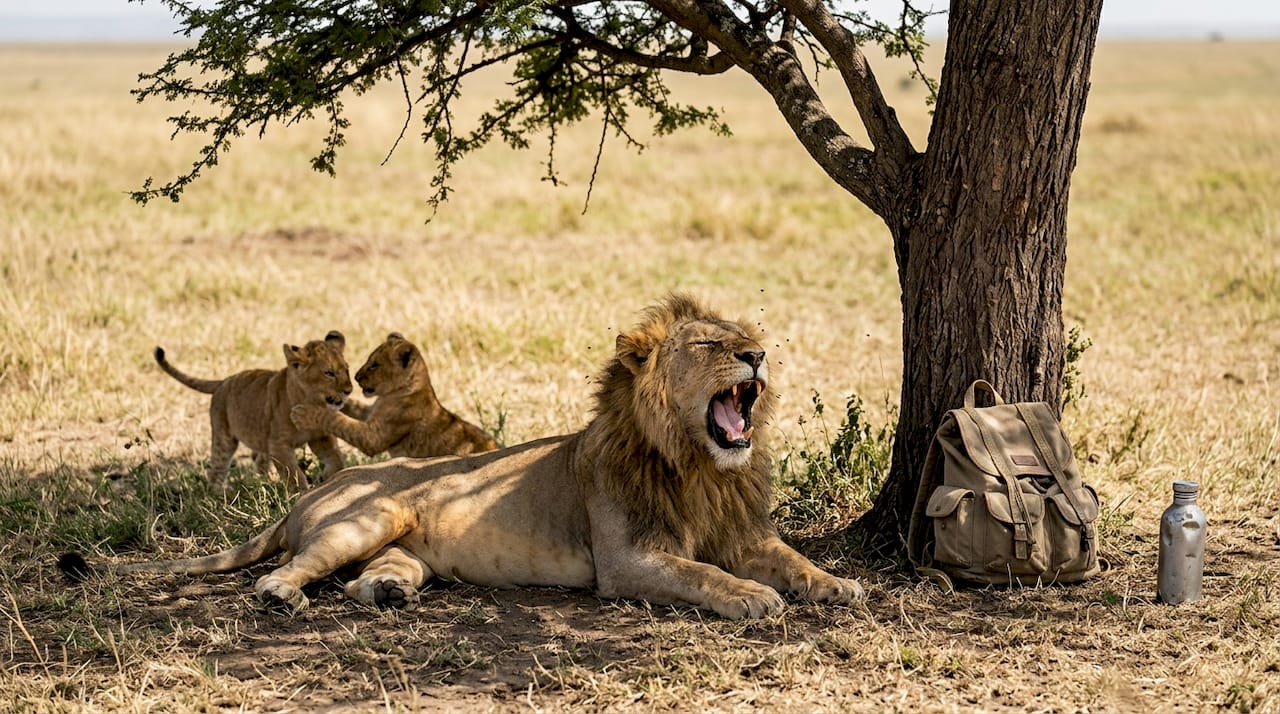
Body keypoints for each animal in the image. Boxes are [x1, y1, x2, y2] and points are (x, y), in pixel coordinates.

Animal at [155, 330, 354, 493]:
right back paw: (220, 495)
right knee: (217, 467)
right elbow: (293, 473)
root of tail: (223, 381)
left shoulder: (320, 437)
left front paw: (327, 477)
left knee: (259, 460)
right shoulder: (278, 444)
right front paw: (301, 493)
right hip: (224, 438)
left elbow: (336, 459)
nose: (349, 390)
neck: (311, 401)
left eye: (346, 369)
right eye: (329, 373)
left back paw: (269, 482)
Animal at [289, 332, 498, 459]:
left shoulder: (374, 437)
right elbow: (354, 406)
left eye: (374, 365)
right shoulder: (371, 412)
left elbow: (338, 420)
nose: (356, 377)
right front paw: (337, 399)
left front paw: (304, 413)